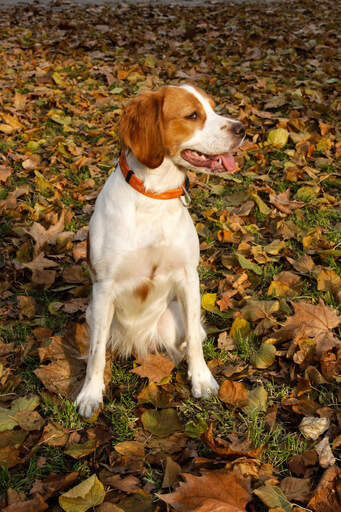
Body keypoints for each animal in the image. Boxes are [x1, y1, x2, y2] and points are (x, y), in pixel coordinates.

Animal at [75, 84, 244, 418]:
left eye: (213, 108)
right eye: (193, 115)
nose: (242, 128)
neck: (153, 195)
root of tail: (138, 342)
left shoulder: (188, 277)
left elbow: (194, 339)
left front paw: (201, 378)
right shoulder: (104, 288)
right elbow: (96, 353)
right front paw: (90, 393)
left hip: (170, 317)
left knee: (188, 339)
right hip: (94, 313)